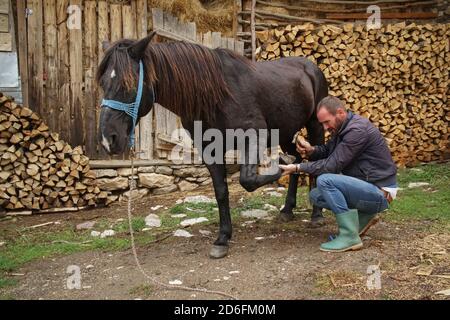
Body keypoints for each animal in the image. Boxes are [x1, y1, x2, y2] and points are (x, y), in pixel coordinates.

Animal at [96, 31, 326, 258]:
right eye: (103, 84)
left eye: (129, 84)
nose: (108, 139)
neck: (217, 94)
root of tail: (310, 66)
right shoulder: (209, 149)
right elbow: (221, 191)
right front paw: (222, 238)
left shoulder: (253, 138)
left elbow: (247, 180)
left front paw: (280, 165)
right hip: (285, 132)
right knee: (298, 158)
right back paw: (287, 209)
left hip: (315, 125)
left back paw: (316, 215)